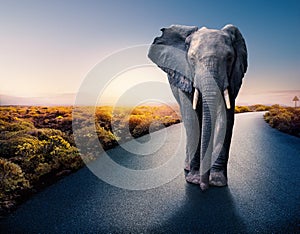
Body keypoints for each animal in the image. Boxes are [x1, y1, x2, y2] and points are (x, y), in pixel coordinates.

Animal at [148, 24, 248, 191]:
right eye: (192, 59)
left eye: (229, 58)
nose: (204, 187)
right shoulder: (185, 75)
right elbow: (192, 119)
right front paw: (193, 179)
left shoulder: (233, 77)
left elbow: (225, 119)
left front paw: (217, 181)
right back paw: (187, 168)